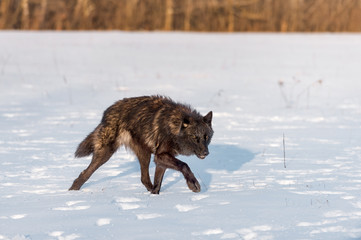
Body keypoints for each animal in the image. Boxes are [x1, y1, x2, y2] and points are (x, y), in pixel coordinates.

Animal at [69, 94, 212, 194]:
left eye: (206, 137)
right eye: (194, 137)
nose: (206, 153)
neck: (174, 126)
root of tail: (107, 112)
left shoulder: (160, 159)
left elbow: (158, 183)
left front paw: (155, 196)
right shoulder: (160, 155)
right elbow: (184, 165)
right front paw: (193, 185)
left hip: (145, 155)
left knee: (144, 179)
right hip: (105, 154)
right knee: (85, 173)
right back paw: (72, 192)